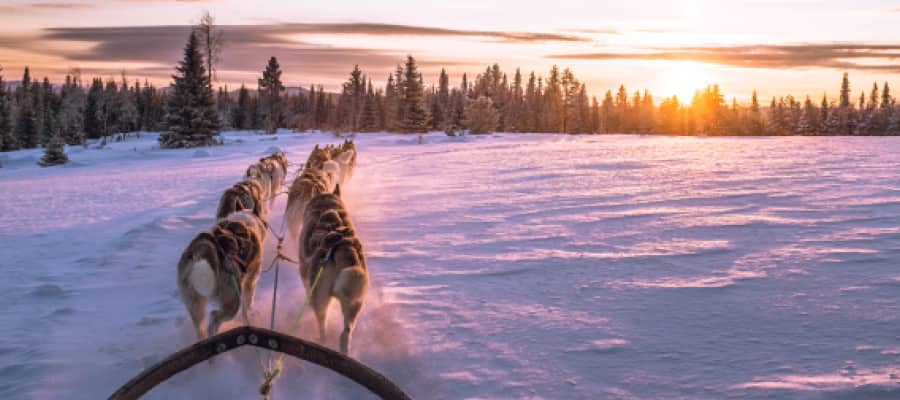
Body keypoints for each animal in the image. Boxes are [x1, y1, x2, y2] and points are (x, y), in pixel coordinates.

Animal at [177, 209, 266, 340]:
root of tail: (202, 250)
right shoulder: (250, 283)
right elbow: (247, 307)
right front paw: (247, 320)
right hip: (233, 301)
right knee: (214, 317)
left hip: (194, 303)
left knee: (200, 328)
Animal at [300, 184, 368, 354]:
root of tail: (342, 247)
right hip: (354, 302)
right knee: (346, 333)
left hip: (320, 299)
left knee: (322, 323)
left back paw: (321, 342)